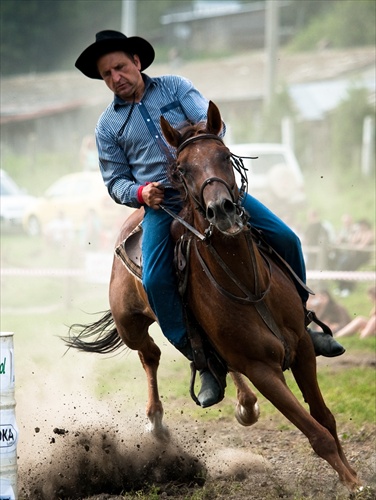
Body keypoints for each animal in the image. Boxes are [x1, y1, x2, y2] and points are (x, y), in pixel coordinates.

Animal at [67, 101, 362, 492]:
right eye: (182, 169)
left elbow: (323, 416)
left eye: (224, 155)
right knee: (151, 355)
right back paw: (158, 423)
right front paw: (351, 481)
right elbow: (315, 432)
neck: (247, 284)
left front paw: (353, 474)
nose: (221, 210)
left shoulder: (300, 347)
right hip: (131, 326)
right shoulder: (262, 369)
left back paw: (244, 404)